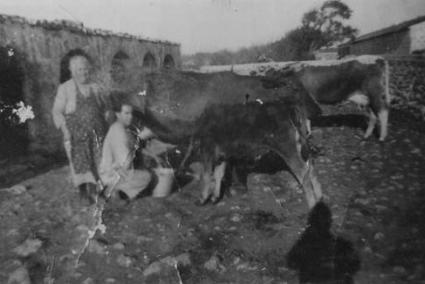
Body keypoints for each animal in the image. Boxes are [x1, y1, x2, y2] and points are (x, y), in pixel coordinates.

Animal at [260, 55, 390, 141]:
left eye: (271, 72)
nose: (262, 80)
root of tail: (379, 59)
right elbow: (307, 117)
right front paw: (308, 133)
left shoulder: (303, 98)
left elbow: (305, 116)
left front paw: (307, 133)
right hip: (366, 99)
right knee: (373, 116)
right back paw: (366, 135)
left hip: (376, 93)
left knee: (383, 113)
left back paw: (382, 137)